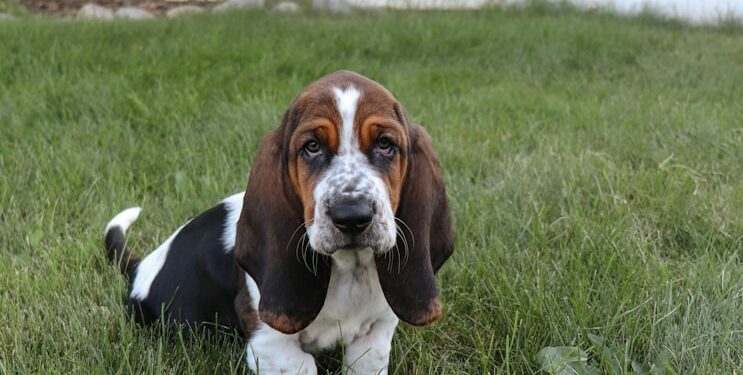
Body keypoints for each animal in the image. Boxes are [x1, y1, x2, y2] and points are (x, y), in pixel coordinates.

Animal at [104, 70, 454, 374]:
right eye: (312, 147)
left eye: (385, 144)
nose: (352, 217)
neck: (347, 269)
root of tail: (139, 267)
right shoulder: (270, 342)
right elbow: (302, 364)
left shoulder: (377, 333)